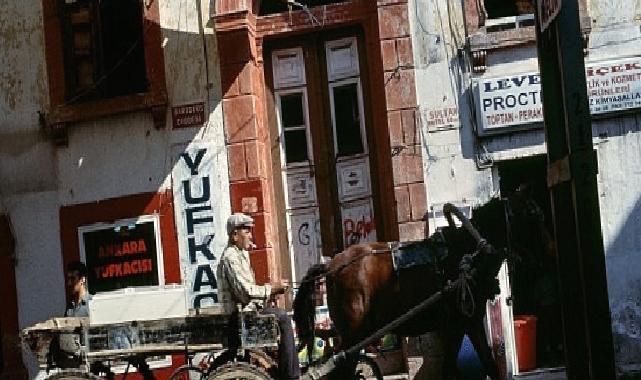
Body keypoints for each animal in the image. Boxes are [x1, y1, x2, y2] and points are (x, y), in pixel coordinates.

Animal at [292, 191, 552, 378]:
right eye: (534, 214)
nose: (548, 255)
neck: (468, 249)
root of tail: (332, 265)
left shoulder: (464, 324)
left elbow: (472, 366)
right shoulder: (462, 324)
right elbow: (465, 367)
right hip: (354, 338)